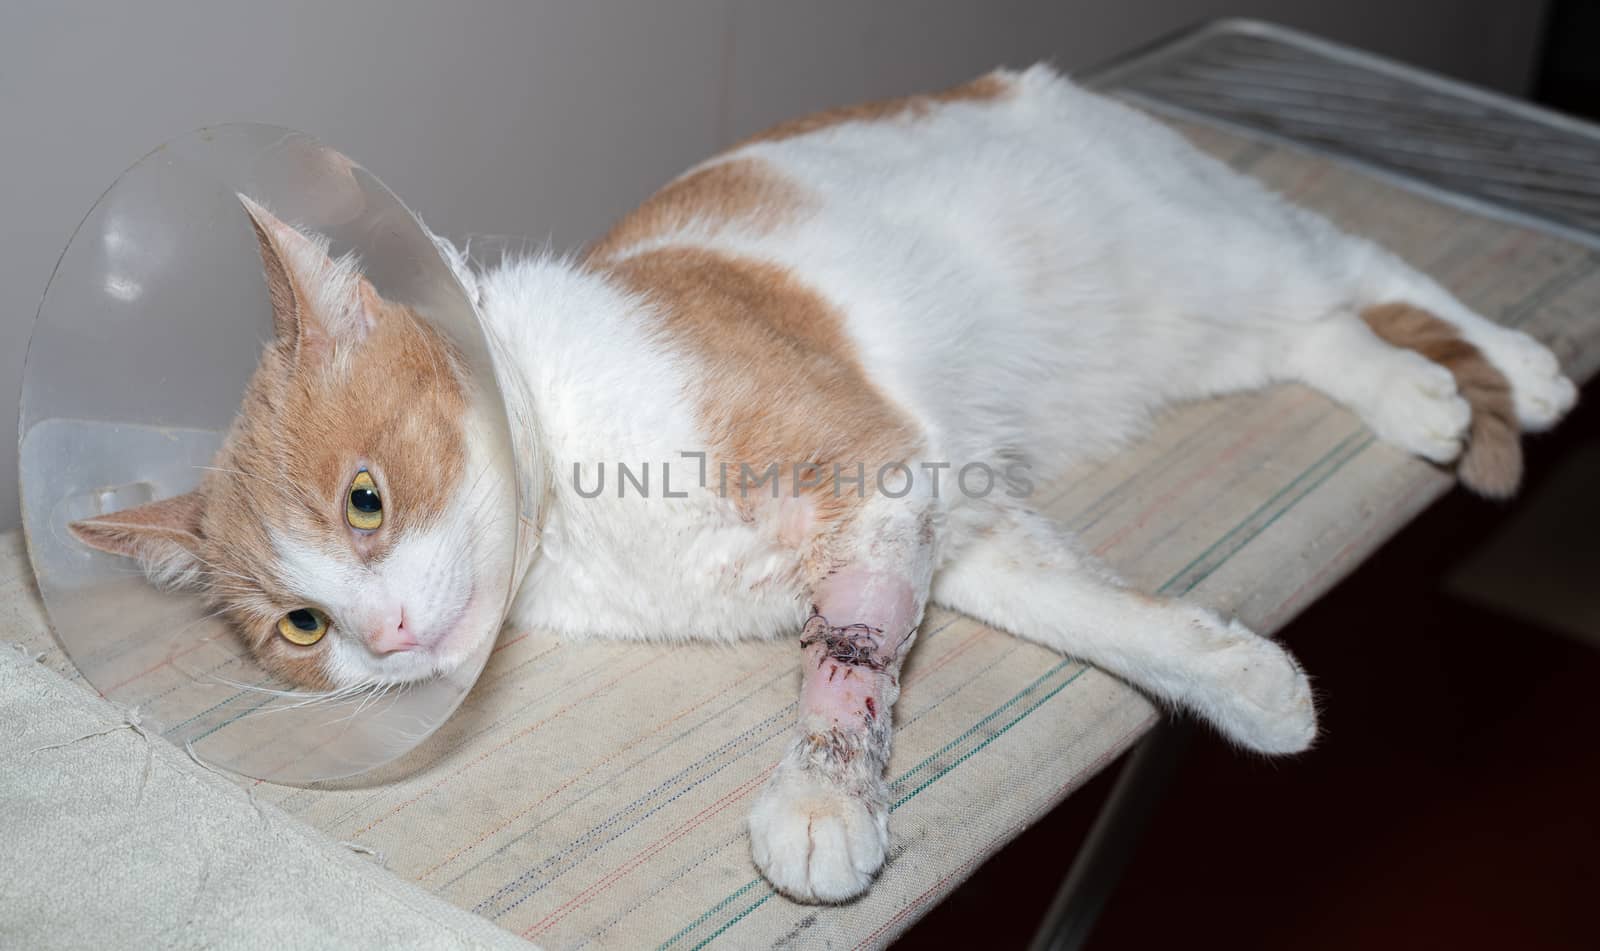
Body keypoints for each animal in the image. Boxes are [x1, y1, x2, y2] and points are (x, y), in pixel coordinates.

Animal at [72, 68, 1574, 902]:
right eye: (300, 627)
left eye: (367, 500)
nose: (382, 636)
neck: (580, 515)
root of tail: (1021, 84)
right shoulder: (957, 527)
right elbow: (1102, 617)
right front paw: (1248, 684)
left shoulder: (873, 476)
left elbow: (845, 656)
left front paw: (822, 800)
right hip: (1188, 330)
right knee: (1322, 332)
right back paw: (1417, 396)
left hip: (1212, 245)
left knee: (1364, 266)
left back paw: (1519, 363)